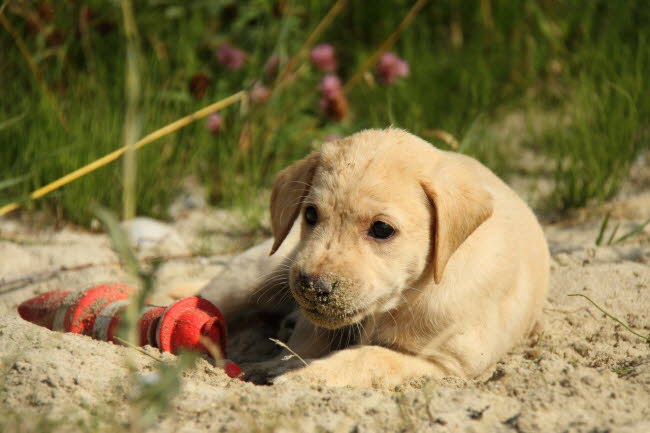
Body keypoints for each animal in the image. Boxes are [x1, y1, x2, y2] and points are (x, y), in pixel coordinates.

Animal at [204, 127, 548, 384]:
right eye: (310, 215)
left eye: (381, 229)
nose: (312, 286)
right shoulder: (316, 322)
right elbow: (306, 340)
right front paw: (277, 365)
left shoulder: (447, 363)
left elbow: (371, 358)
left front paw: (302, 374)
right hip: (256, 275)